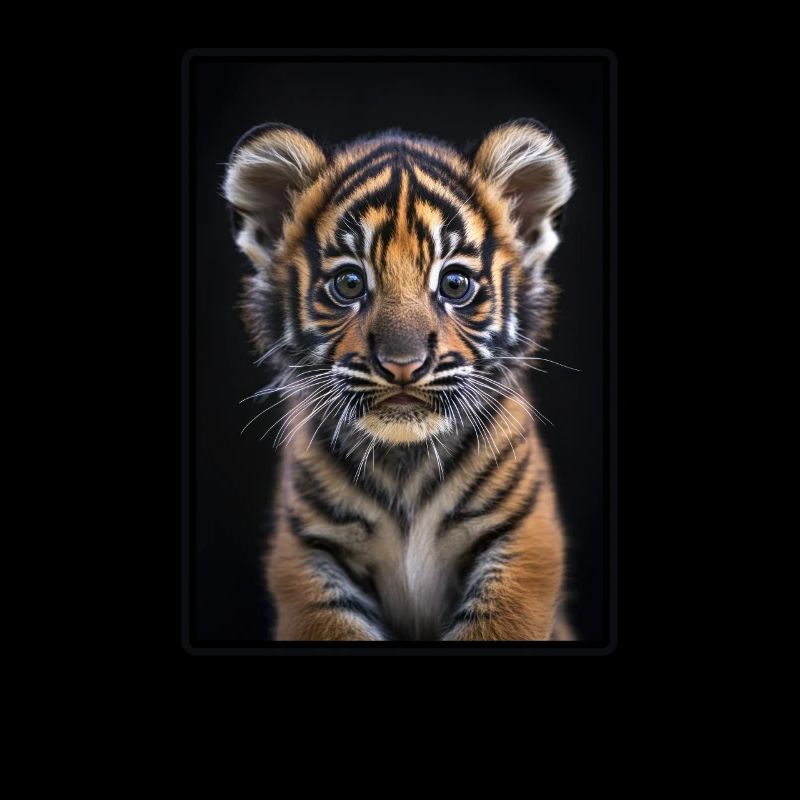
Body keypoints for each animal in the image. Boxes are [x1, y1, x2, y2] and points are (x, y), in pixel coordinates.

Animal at [223, 119, 576, 641]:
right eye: (349, 283)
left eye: (454, 284)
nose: (403, 364)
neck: (404, 464)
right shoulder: (308, 552)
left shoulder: (523, 537)